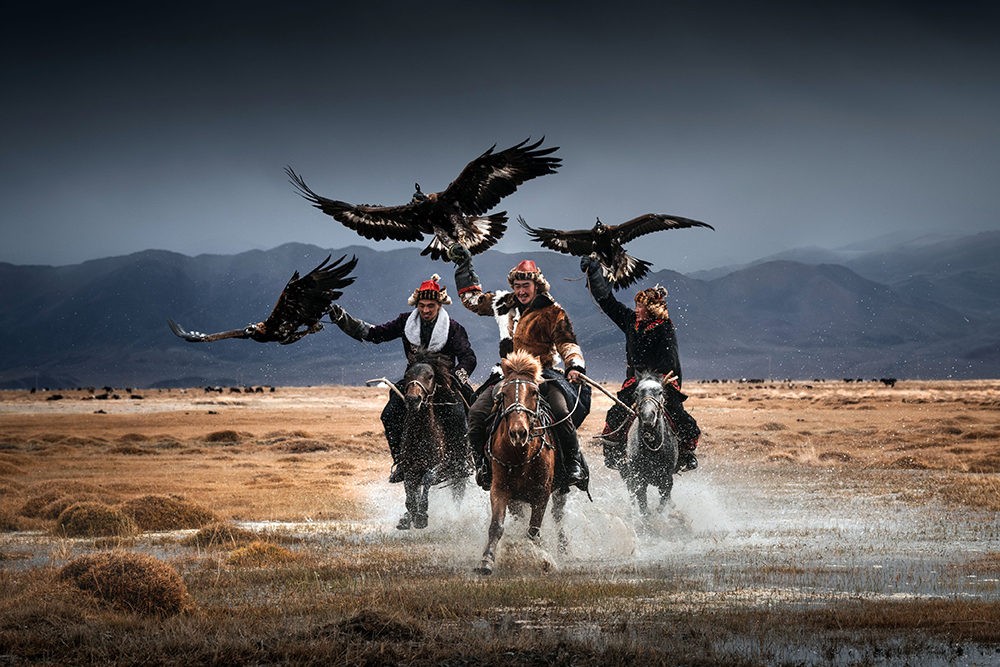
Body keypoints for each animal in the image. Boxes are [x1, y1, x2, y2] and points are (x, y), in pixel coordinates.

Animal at [394, 350, 468, 532]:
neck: (421, 435)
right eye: (407, 374)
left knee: (458, 495)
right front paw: (409, 516)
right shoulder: (409, 469)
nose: (413, 399)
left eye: (430, 376)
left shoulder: (440, 467)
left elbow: (428, 478)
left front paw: (421, 516)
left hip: (459, 475)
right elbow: (410, 494)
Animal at [474, 350, 568, 576]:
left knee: (558, 516)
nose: (518, 433)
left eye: (534, 392)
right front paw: (486, 560)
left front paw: (541, 559)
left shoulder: (542, 492)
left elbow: (533, 530)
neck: (521, 455)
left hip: (560, 492)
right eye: (503, 393)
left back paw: (563, 550)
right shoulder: (500, 489)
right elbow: (496, 526)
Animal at [620, 370, 684, 516]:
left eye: (660, 392)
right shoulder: (639, 480)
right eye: (636, 393)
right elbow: (644, 508)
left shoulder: (667, 480)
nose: (648, 417)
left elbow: (662, 505)